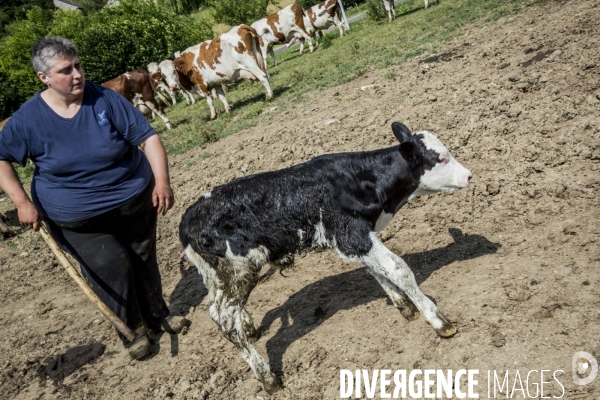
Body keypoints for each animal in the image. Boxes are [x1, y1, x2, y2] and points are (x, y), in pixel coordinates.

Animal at [178, 122, 474, 394]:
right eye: (441, 158)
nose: (470, 176)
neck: (360, 180)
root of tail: (189, 218)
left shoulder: (355, 239)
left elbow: (378, 271)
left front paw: (405, 306)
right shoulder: (351, 234)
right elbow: (399, 269)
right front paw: (437, 320)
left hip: (218, 274)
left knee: (218, 306)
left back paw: (249, 327)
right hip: (239, 269)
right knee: (224, 317)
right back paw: (267, 378)